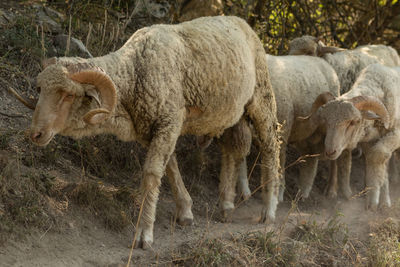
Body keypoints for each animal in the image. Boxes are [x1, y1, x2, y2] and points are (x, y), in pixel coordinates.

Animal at [28, 16, 282, 249]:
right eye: (40, 89)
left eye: (68, 95)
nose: (36, 134)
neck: (135, 70)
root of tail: (240, 21)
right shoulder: (152, 130)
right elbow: (170, 167)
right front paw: (185, 211)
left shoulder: (169, 121)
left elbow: (151, 175)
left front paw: (144, 234)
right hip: (228, 112)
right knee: (230, 150)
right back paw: (227, 204)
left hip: (261, 97)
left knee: (271, 145)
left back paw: (269, 209)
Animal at [302, 63, 400, 210]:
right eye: (326, 121)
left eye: (354, 122)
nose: (330, 151)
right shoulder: (369, 141)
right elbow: (376, 164)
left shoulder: (393, 135)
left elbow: (378, 156)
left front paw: (377, 200)